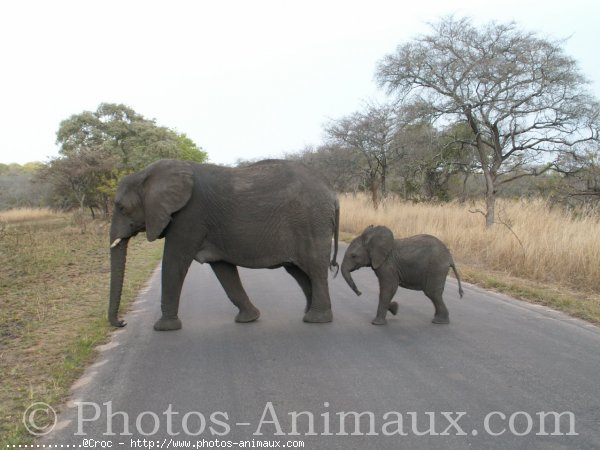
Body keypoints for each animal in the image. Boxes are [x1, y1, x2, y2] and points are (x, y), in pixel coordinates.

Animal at [109, 158, 338, 330]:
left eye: (121, 207)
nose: (122, 322)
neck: (146, 173)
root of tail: (331, 190)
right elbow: (223, 270)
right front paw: (249, 319)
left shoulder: (189, 217)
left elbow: (174, 261)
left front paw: (163, 328)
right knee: (300, 272)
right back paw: (310, 314)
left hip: (311, 221)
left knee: (314, 268)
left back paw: (316, 319)